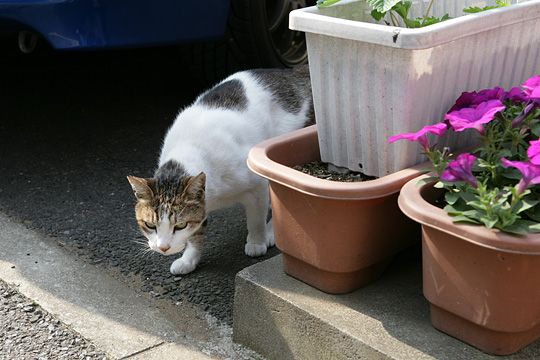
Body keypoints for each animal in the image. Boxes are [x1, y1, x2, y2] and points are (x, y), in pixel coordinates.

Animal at [126, 66, 312, 276]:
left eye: (179, 225)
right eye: (150, 225)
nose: (163, 248)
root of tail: (294, 73)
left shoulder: (257, 186)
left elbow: (256, 219)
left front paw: (257, 242)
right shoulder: (201, 205)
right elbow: (196, 233)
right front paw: (189, 259)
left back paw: (271, 232)